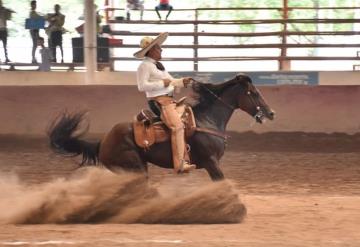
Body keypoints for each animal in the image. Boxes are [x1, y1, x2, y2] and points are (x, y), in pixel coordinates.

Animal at [47, 74, 272, 180]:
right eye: (254, 93)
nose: (271, 113)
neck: (207, 120)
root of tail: (103, 141)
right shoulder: (211, 161)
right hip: (133, 167)